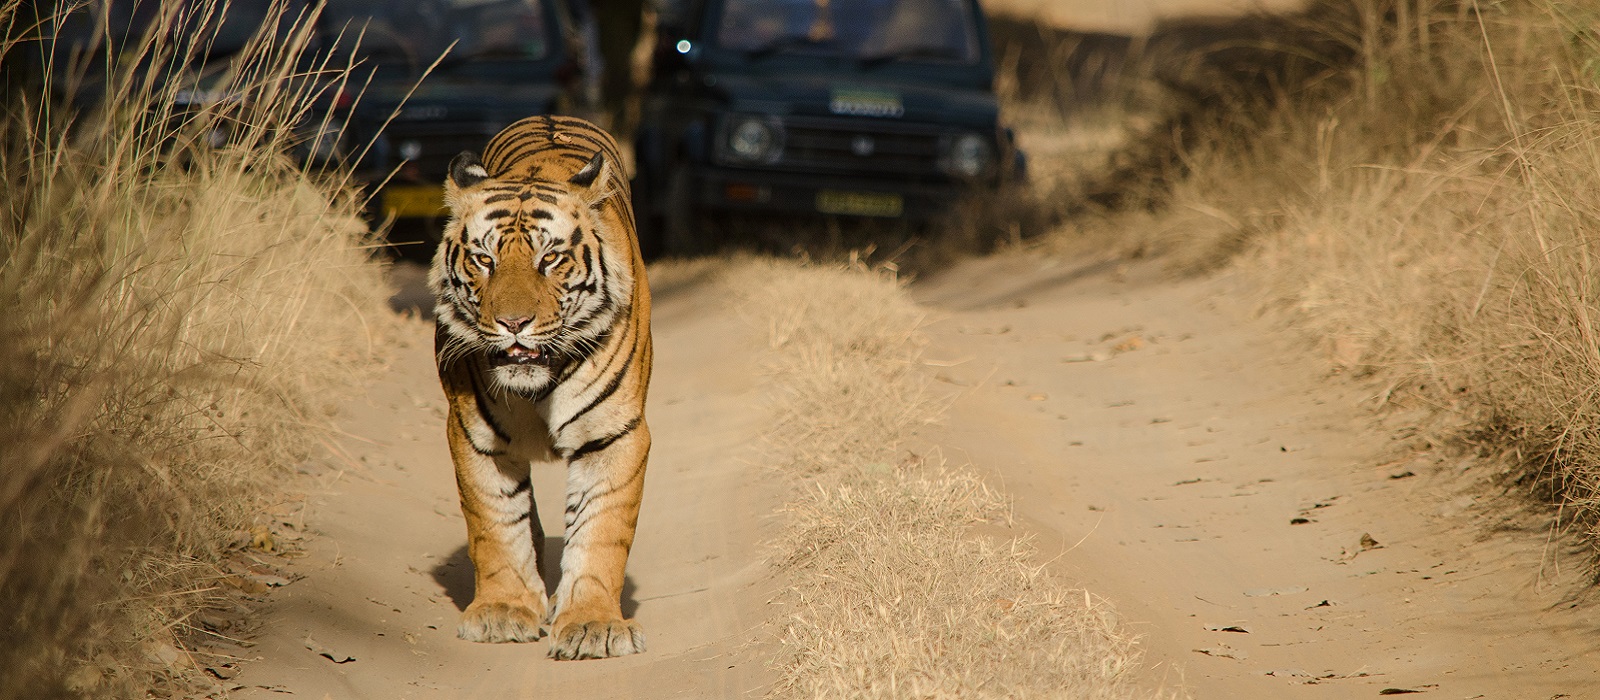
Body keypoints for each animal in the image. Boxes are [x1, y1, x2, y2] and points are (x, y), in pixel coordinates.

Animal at [428, 115, 652, 661]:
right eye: (484, 260)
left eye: (550, 259)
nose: (513, 324)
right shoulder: (474, 435)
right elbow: (495, 524)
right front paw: (504, 610)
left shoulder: (615, 433)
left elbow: (600, 530)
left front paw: (593, 625)